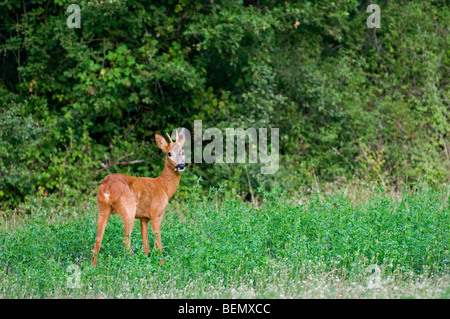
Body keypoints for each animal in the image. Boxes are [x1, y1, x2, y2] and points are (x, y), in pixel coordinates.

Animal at [92, 129, 187, 266]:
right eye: (169, 153)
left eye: (182, 152)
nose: (181, 166)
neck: (164, 187)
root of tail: (107, 188)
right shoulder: (156, 213)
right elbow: (158, 243)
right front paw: (161, 265)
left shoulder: (143, 218)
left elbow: (145, 245)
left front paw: (147, 261)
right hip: (129, 210)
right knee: (126, 241)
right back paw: (134, 263)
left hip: (103, 208)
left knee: (98, 240)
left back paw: (93, 266)